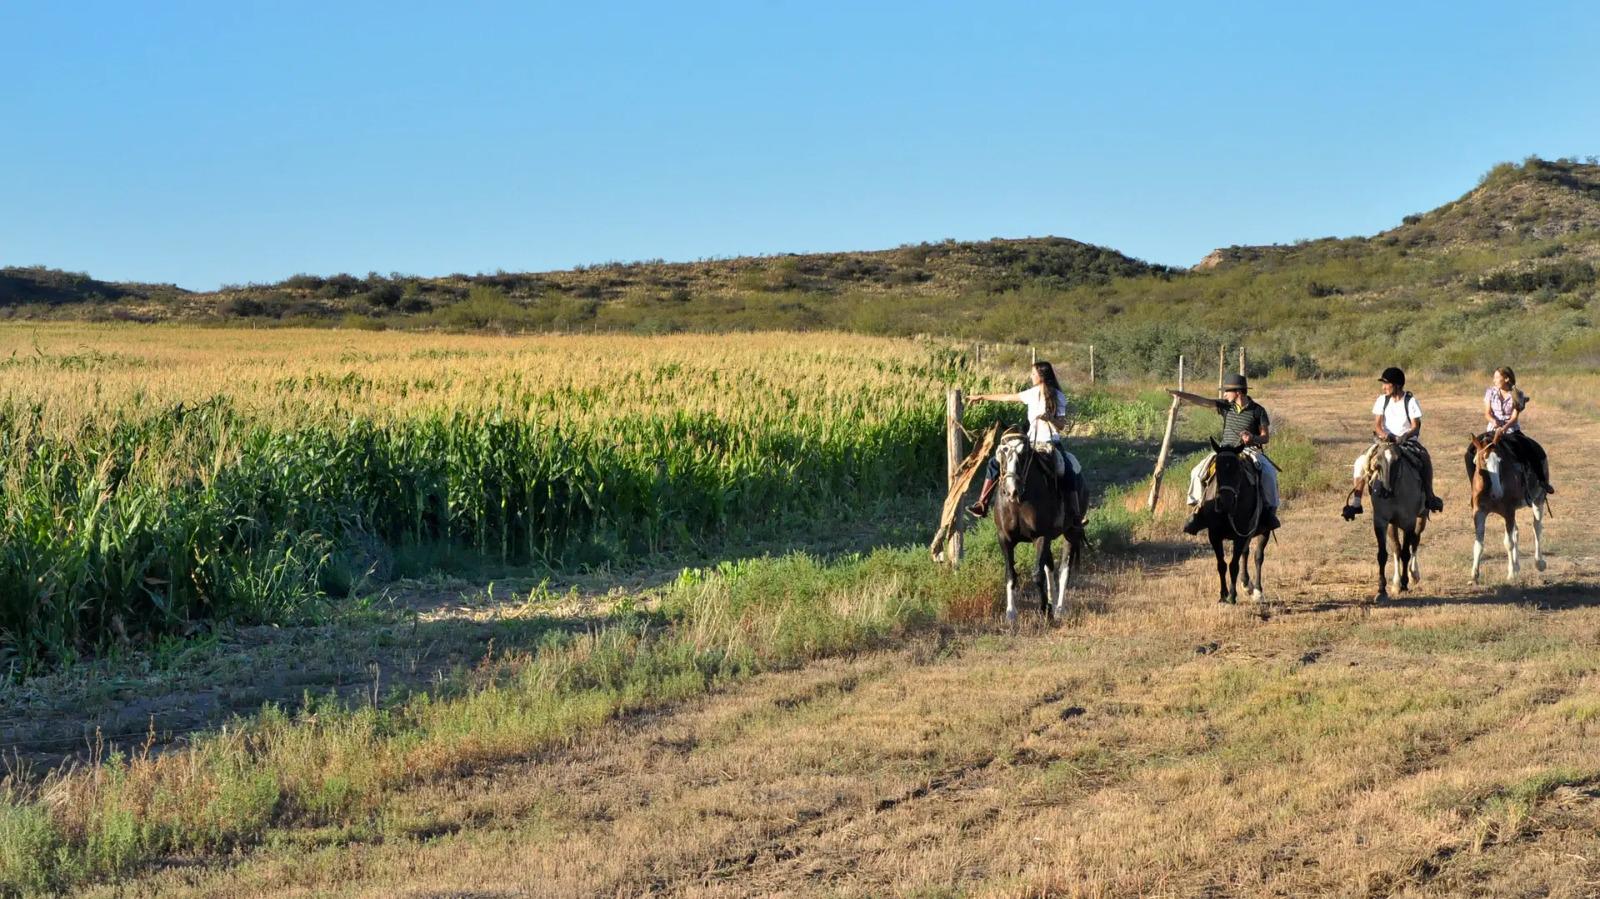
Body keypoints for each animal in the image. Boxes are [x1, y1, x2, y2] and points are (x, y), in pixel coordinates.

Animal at [985, 435, 1088, 623]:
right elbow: (1010, 574)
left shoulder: (1041, 537)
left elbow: (1037, 574)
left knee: (1064, 569)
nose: (1011, 491)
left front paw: (1044, 609)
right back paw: (1053, 602)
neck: (1019, 502)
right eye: (1003, 454)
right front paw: (1011, 613)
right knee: (1050, 567)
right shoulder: (1004, 539)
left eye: (1023, 455)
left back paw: (1059, 608)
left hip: (1070, 533)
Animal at [1196, 438, 1280, 601]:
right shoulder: (1214, 535)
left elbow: (1234, 565)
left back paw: (1257, 590)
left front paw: (1232, 596)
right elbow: (1221, 564)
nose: (1225, 502)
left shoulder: (1240, 535)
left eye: (1237, 471)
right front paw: (1223, 595)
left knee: (1258, 556)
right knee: (1245, 554)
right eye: (1218, 469)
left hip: (1263, 530)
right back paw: (1246, 584)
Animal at [1465, 431, 1542, 585]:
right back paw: (1517, 566)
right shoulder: (1479, 512)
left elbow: (1508, 543)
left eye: (1500, 461)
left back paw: (1539, 563)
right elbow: (1479, 544)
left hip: (1538, 499)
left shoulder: (1508, 512)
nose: (1498, 493)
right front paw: (1474, 575)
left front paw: (1511, 574)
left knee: (1536, 527)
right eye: (1483, 460)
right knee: (1516, 531)